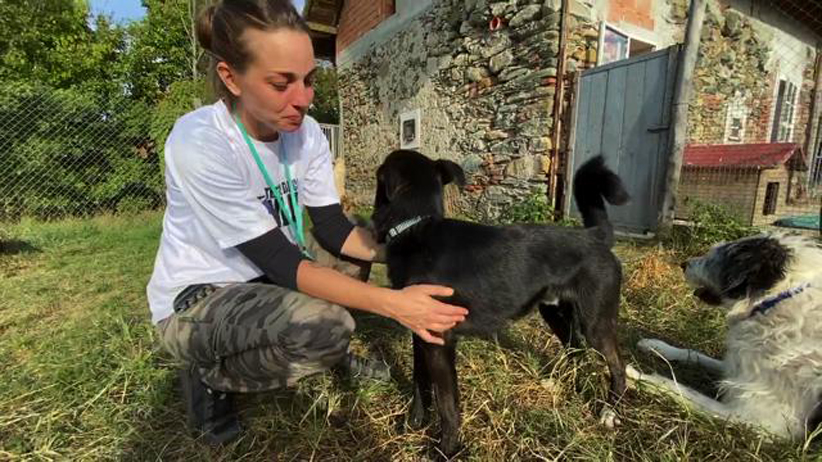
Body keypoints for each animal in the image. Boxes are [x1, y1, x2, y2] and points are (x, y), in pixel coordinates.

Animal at [374, 150, 632, 456]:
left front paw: (446, 449)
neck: (415, 225)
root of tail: (594, 235)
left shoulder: (441, 340)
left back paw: (610, 413)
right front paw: (413, 425)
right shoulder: (422, 335)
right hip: (554, 313)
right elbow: (419, 384)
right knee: (576, 349)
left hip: (595, 323)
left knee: (617, 364)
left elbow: (447, 404)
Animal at [632, 235, 822, 440]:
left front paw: (637, 376)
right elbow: (695, 354)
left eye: (716, 258)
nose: (683, 264)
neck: (773, 302)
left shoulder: (761, 420)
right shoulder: (738, 365)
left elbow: (681, 390)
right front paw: (656, 346)